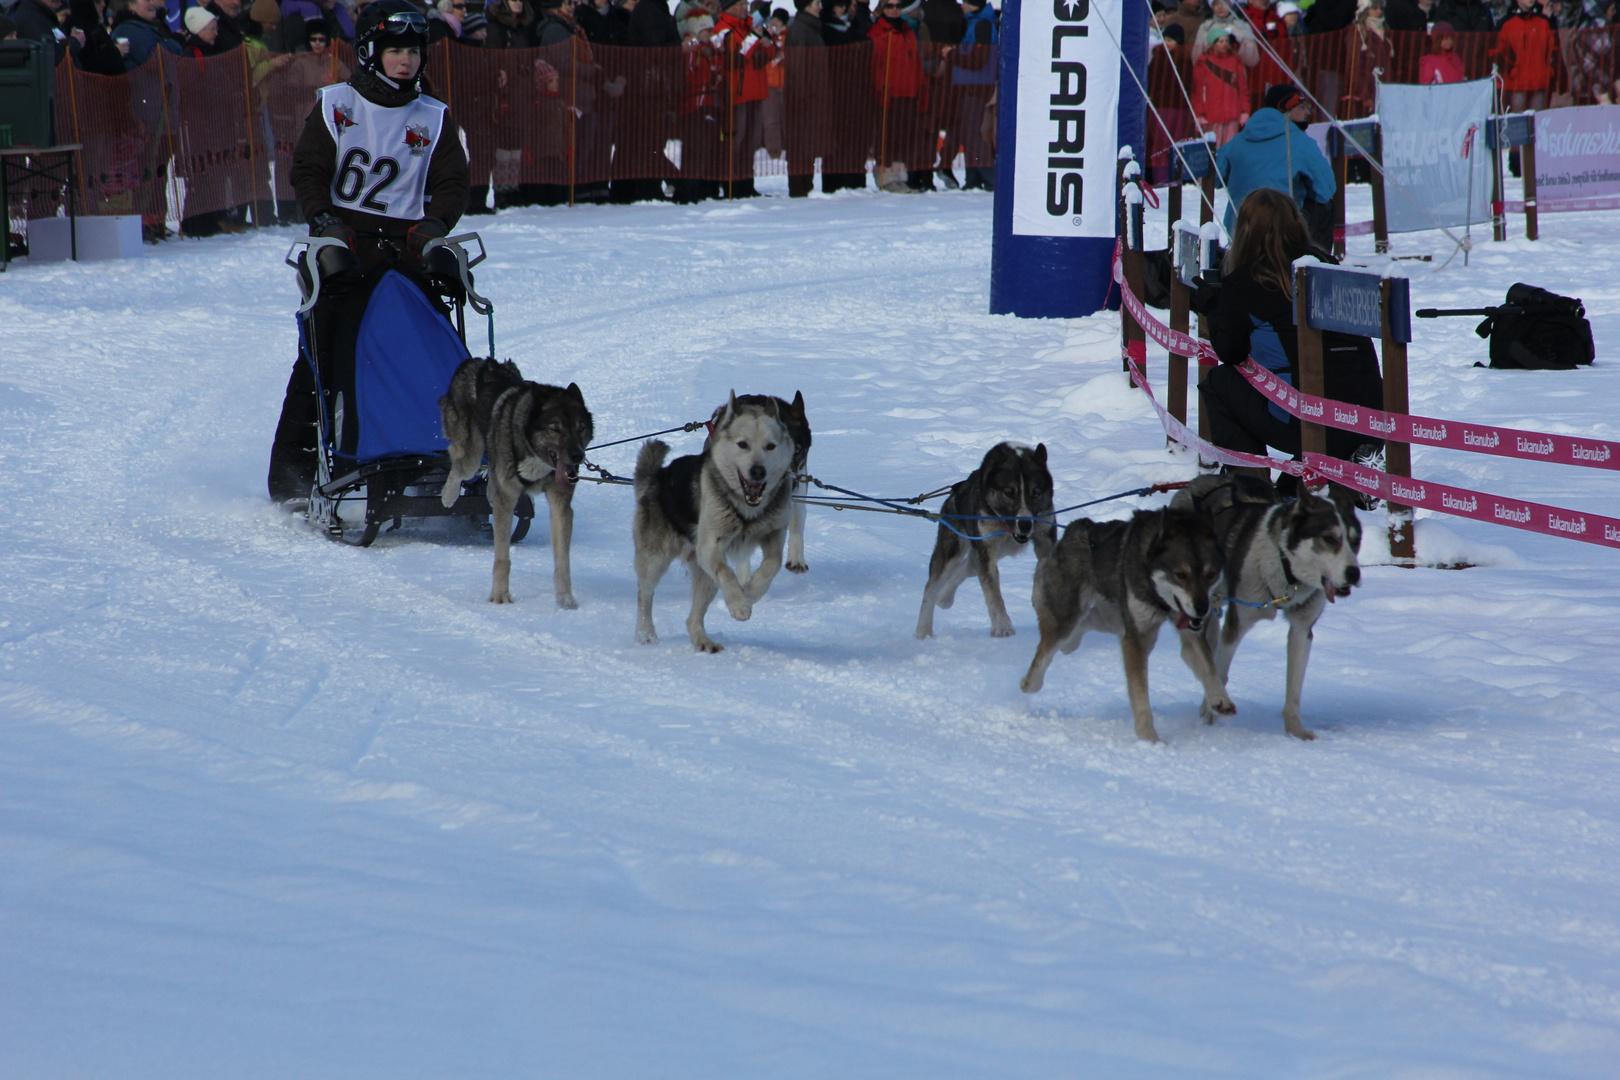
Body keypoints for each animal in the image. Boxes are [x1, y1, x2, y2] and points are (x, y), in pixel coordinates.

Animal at [437, 356, 596, 605]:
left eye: (580, 428)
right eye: (555, 429)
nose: (577, 455)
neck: (533, 453)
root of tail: (481, 360)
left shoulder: (560, 504)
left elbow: (562, 561)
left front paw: (565, 598)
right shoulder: (507, 500)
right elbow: (502, 558)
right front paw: (500, 595)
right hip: (471, 454)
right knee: (457, 461)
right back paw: (448, 495)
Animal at [638, 395, 803, 654]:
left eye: (770, 446)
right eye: (743, 444)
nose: (758, 471)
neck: (747, 511)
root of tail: (658, 477)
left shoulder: (774, 534)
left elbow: (772, 565)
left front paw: (749, 594)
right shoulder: (710, 546)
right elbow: (726, 571)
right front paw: (739, 604)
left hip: (705, 579)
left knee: (692, 618)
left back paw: (703, 640)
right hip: (655, 561)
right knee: (645, 595)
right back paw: (646, 634)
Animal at [1017, 508, 1231, 744]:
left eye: (1210, 575)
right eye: (1181, 575)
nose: (1202, 608)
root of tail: (1078, 526)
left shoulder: (1189, 635)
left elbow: (1209, 668)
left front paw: (1220, 699)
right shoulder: (1136, 640)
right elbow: (1140, 696)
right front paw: (1150, 739)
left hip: (1112, 619)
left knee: (1085, 622)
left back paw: (1070, 644)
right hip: (1067, 618)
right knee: (1044, 654)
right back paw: (1029, 683)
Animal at [1172, 476, 1360, 738]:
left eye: (1356, 541)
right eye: (1329, 538)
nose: (1354, 573)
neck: (1285, 569)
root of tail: (1198, 481)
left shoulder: (1302, 630)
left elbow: (1294, 686)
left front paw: (1296, 730)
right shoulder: (1236, 625)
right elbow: (1220, 671)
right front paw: (1212, 710)